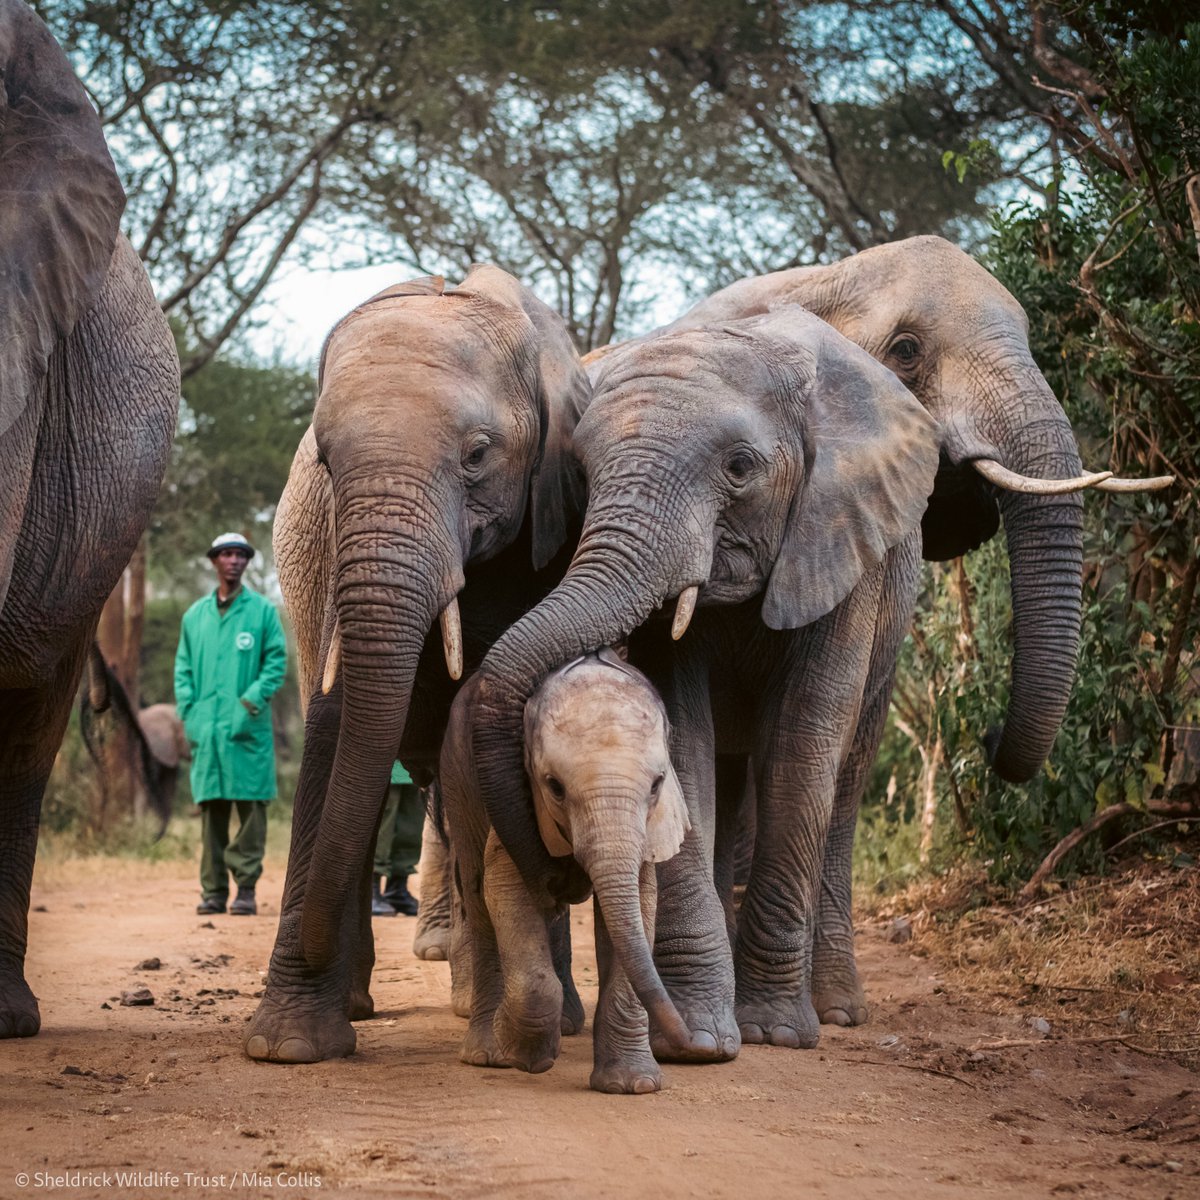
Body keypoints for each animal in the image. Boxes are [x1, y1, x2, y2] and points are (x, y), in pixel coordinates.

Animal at [243, 264, 591, 1064]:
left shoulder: (553, 522)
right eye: (326, 462)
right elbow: (337, 725)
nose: (569, 880)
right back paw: (359, 1003)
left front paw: (554, 1026)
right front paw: (288, 1046)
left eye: (478, 455)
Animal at [441, 649, 693, 1093]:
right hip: (458, 779)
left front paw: (634, 1086)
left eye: (657, 784)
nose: (688, 1041)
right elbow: (503, 888)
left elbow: (638, 908)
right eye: (554, 786)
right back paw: (489, 1054)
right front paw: (524, 1055)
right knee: (477, 894)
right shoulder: (515, 803)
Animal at [467, 306, 942, 1056]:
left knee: (845, 777)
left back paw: (836, 1010)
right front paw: (699, 1036)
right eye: (583, 474)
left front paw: (775, 1032)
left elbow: (805, 742)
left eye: (740, 467)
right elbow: (683, 740)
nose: (558, 877)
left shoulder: (842, 535)